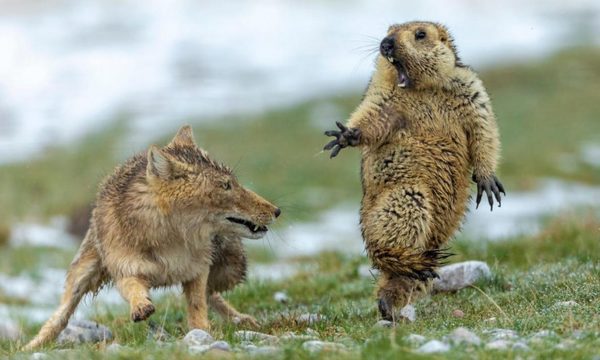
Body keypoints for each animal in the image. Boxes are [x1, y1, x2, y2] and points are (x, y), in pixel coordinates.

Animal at [21, 125, 278, 350]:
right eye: (225, 186)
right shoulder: (126, 270)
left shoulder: (197, 270)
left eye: (234, 183)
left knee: (212, 295)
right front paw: (141, 307)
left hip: (229, 269)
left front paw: (202, 332)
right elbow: (134, 289)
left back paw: (241, 319)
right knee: (59, 317)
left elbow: (198, 306)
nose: (277, 211)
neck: (170, 242)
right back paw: (31, 346)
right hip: (81, 275)